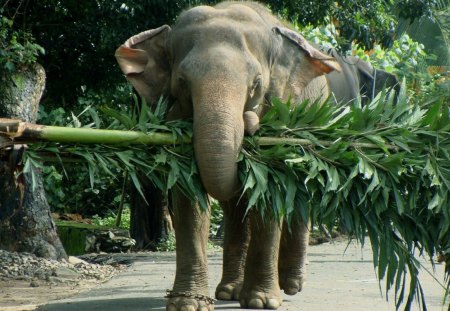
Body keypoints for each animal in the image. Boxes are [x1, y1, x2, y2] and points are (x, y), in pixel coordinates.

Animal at [114, 1, 400, 310]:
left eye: (256, 85)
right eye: (182, 81)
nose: (249, 123)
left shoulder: (281, 113)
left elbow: (270, 196)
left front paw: (261, 302)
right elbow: (189, 199)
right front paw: (188, 304)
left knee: (298, 196)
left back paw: (290, 285)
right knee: (237, 209)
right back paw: (230, 291)